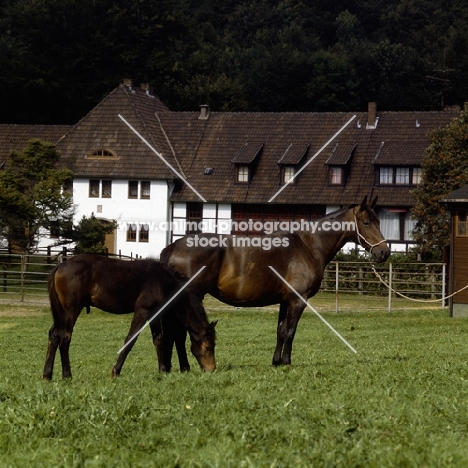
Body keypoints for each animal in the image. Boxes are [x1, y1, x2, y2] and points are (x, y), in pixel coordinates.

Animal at [41, 256, 216, 380]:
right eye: (208, 347)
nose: (211, 369)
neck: (164, 281)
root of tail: (60, 266)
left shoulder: (154, 313)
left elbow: (158, 339)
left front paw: (162, 371)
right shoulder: (143, 310)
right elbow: (131, 338)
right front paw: (116, 371)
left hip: (61, 313)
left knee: (54, 335)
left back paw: (47, 375)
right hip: (71, 310)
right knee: (65, 337)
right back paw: (67, 375)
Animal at [162, 196, 392, 368]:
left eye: (379, 222)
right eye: (367, 223)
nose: (384, 252)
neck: (308, 246)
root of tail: (173, 246)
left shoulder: (285, 300)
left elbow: (280, 331)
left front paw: (276, 361)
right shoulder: (298, 300)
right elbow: (290, 331)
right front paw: (287, 362)